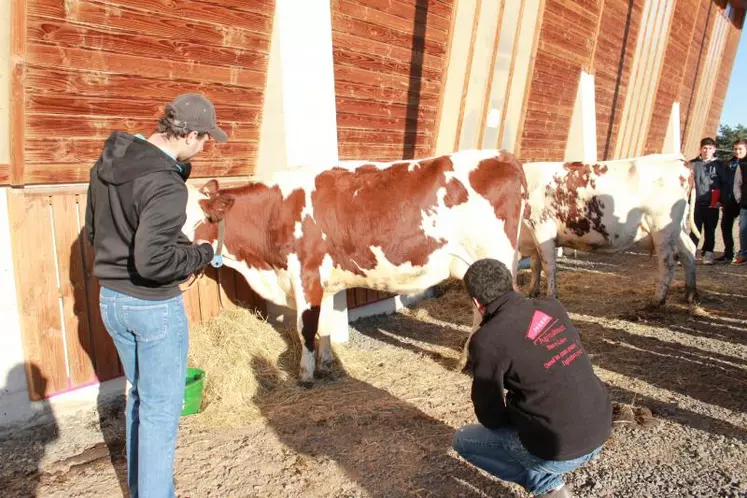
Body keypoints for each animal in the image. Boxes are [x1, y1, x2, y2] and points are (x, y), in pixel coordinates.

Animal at [184, 150, 528, 384]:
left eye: (198, 220)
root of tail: (504, 155)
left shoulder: (305, 274)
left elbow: (305, 328)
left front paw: (305, 375)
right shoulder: (321, 281)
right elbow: (324, 325)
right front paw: (326, 365)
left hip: (493, 259)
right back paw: (464, 361)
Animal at [520, 153, 700, 308]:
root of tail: (679, 159)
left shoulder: (542, 229)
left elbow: (548, 267)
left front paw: (551, 296)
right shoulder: (533, 236)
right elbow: (535, 265)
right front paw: (532, 291)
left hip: (662, 229)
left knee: (668, 260)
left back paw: (658, 300)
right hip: (677, 230)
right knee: (688, 251)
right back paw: (690, 295)